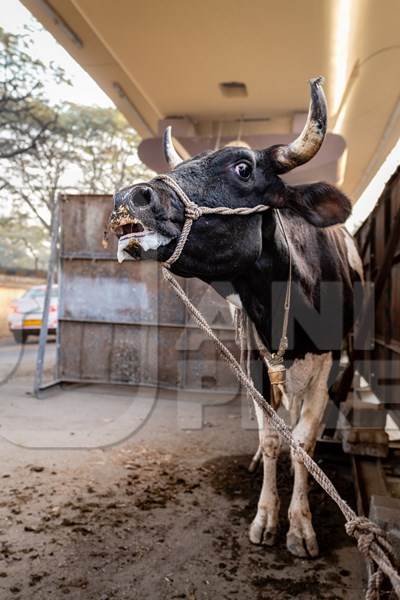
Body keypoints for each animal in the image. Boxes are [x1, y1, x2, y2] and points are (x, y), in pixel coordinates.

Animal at [109, 78, 362, 556]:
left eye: (243, 169)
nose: (129, 198)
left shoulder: (325, 367)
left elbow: (303, 442)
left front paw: (300, 525)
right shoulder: (255, 363)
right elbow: (271, 438)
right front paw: (266, 516)